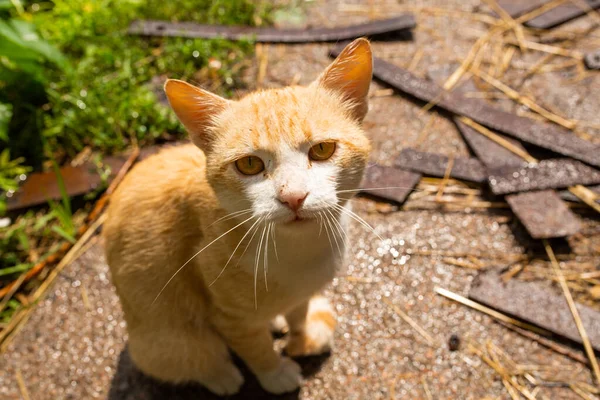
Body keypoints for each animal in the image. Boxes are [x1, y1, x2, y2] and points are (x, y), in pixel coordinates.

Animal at [105, 39, 372, 396]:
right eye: (249, 165)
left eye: (322, 150)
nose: (293, 196)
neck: (300, 252)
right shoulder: (229, 318)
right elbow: (255, 347)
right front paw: (275, 374)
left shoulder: (301, 295)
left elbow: (298, 314)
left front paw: (301, 338)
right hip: (168, 340)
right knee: (195, 356)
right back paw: (223, 377)